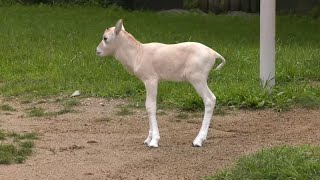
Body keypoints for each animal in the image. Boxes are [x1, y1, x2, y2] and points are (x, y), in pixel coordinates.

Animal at [96, 18, 226, 148]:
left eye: (105, 38)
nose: (97, 51)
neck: (139, 52)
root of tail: (213, 53)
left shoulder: (151, 80)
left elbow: (150, 106)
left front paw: (154, 141)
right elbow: (147, 105)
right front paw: (148, 139)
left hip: (197, 79)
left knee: (210, 99)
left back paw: (198, 140)